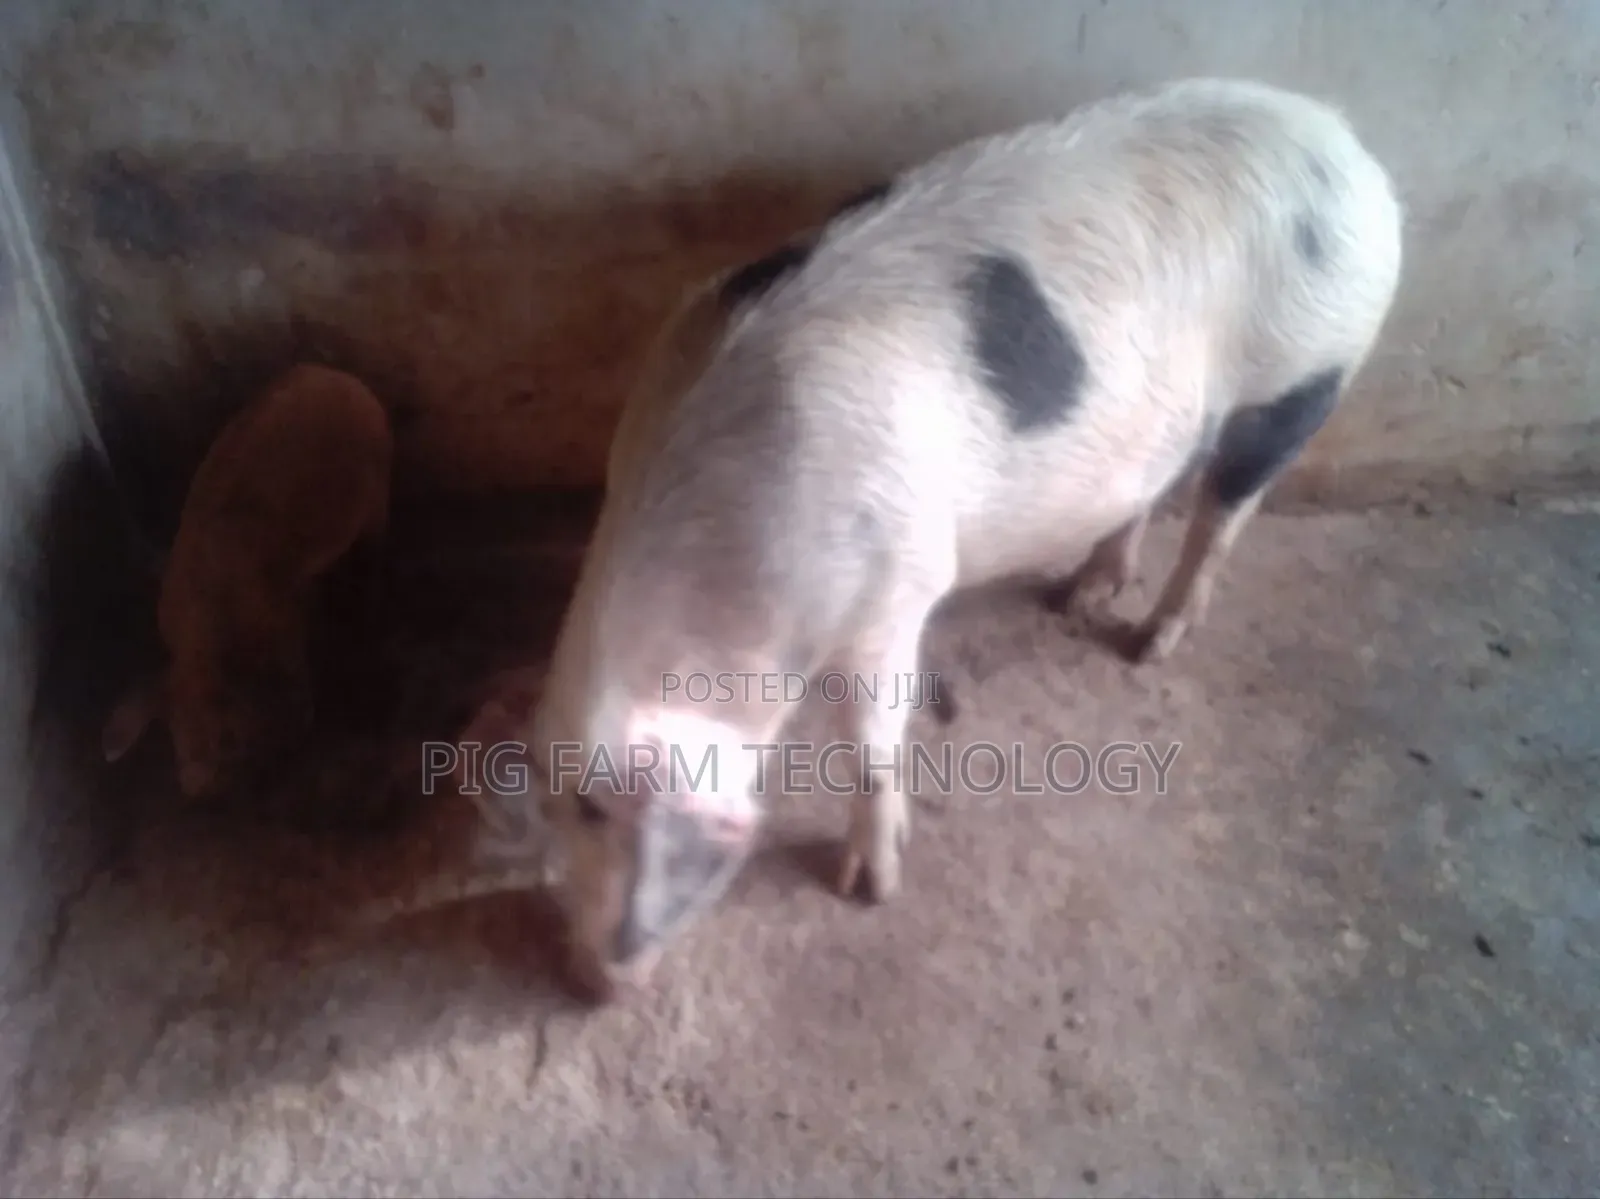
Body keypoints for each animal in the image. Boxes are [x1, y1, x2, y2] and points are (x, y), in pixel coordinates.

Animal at [102, 363, 394, 799]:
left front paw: (303, 718)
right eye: (176, 738)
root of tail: (331, 373)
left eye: (230, 742)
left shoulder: (283, 619)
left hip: (378, 488)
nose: (194, 788)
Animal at [481, 76, 1404, 993]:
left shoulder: (896, 582)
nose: (588, 981)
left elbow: (873, 735)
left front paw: (869, 887)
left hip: (1306, 372)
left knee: (1223, 511)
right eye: (559, 813)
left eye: (613, 819)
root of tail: (1347, 147)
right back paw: (1080, 595)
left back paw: (1150, 642)